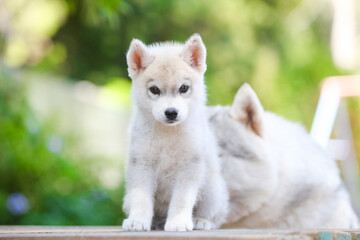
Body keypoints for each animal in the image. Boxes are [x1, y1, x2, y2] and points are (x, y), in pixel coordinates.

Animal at [121, 33, 228, 231]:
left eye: (183, 88)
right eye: (154, 89)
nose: (171, 112)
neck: (167, 135)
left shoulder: (190, 167)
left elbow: (181, 200)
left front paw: (178, 222)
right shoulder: (142, 164)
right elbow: (141, 198)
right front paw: (137, 221)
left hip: (213, 192)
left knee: (216, 216)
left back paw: (201, 221)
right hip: (127, 198)